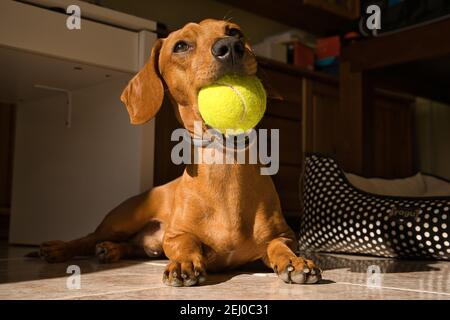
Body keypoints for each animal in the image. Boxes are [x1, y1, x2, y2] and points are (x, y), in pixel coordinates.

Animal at [37, 18, 322, 286]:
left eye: (234, 31)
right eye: (181, 46)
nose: (230, 47)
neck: (226, 168)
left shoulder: (284, 234)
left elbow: (279, 245)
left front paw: (294, 262)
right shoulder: (175, 236)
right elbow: (186, 243)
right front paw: (185, 263)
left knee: (131, 246)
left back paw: (110, 250)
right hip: (120, 222)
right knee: (87, 238)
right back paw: (60, 248)